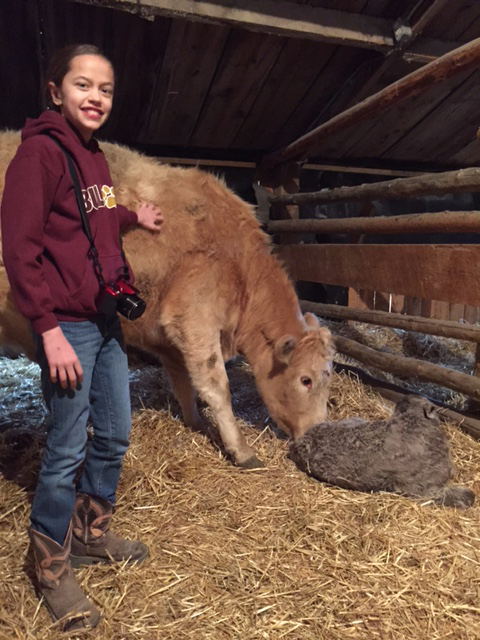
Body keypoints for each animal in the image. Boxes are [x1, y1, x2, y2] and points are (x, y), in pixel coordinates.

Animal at [0, 131, 334, 468]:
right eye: (306, 380)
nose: (317, 432)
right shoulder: (195, 317)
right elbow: (217, 386)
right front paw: (241, 450)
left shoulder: (169, 338)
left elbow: (183, 381)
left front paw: (196, 423)